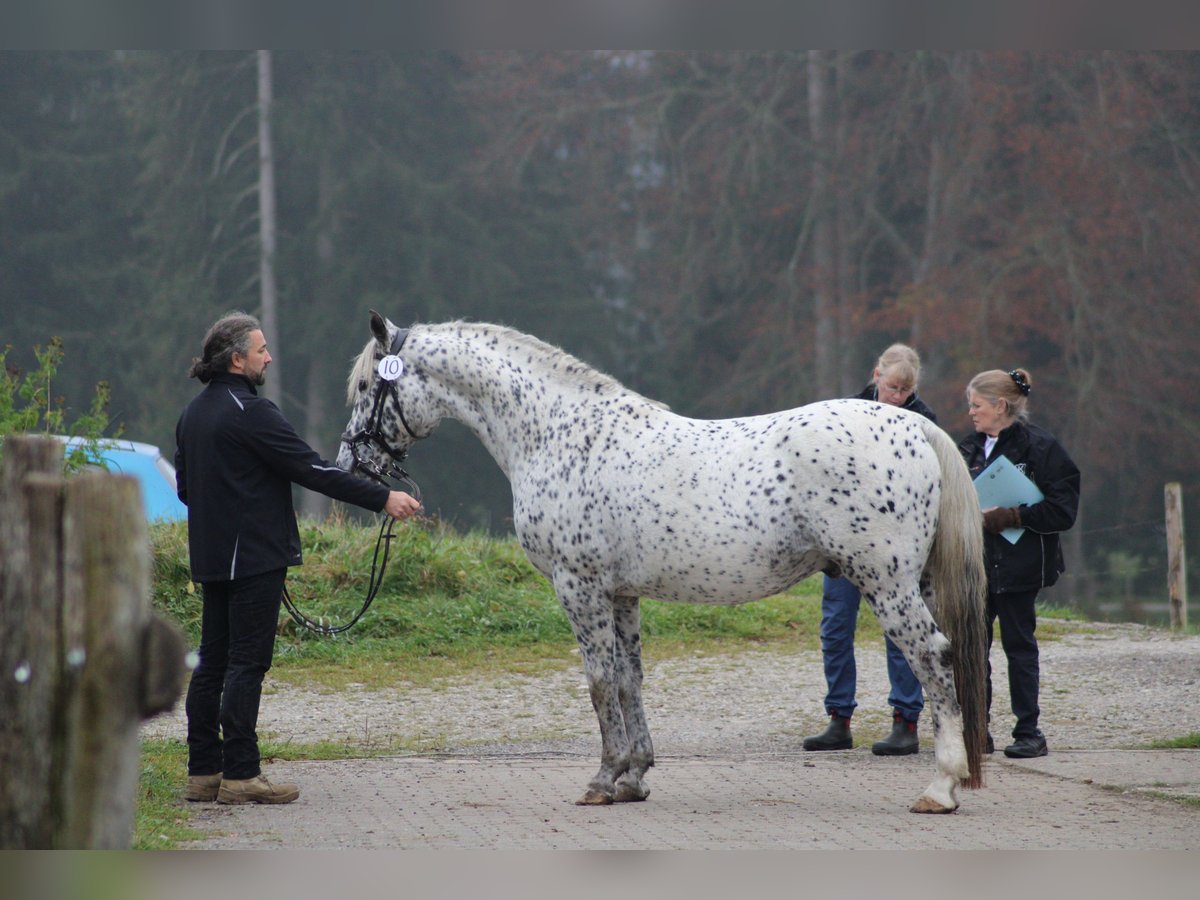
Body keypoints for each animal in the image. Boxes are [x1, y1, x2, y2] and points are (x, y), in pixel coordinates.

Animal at [336, 312, 984, 816]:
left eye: (368, 385)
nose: (350, 464)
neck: (558, 435)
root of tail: (916, 428)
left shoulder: (579, 588)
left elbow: (599, 682)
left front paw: (602, 781)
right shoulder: (622, 594)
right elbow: (630, 681)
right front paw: (634, 777)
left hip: (887, 584)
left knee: (934, 658)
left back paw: (941, 787)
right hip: (915, 583)